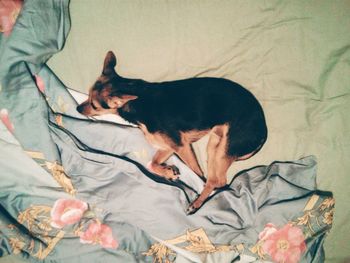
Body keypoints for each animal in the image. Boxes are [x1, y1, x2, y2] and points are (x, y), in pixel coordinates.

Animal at [77, 51, 268, 214]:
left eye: (94, 105)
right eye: (87, 94)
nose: (78, 109)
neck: (138, 100)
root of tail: (264, 131)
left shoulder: (181, 146)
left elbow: (196, 174)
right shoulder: (169, 147)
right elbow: (151, 164)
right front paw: (169, 172)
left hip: (224, 149)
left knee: (215, 180)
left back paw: (196, 204)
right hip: (215, 145)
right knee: (218, 179)